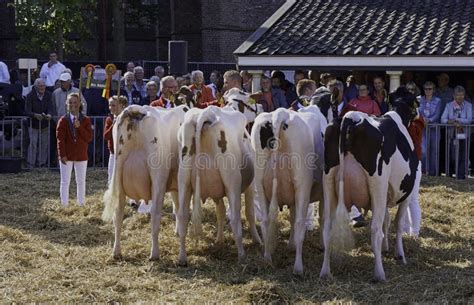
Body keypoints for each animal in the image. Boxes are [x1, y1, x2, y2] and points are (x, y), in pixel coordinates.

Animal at [102, 104, 191, 258]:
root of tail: (134, 110)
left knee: (118, 213)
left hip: (118, 175)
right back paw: (154, 253)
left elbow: (177, 208)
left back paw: (116, 251)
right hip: (158, 179)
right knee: (155, 213)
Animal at [176, 104, 262, 264]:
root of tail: (204, 114)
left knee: (182, 216)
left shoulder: (216, 192)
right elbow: (249, 213)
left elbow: (220, 212)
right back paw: (242, 255)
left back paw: (182, 257)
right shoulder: (250, 186)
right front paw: (257, 240)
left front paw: (219, 239)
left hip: (184, 183)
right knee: (235, 219)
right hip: (232, 182)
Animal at [252, 105, 326, 274]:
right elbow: (322, 218)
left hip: (260, 183)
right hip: (302, 185)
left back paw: (267, 258)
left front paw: (290, 245)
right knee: (299, 223)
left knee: (265, 222)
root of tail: (280, 114)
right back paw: (298, 268)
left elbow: (291, 215)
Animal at [320, 91, 420, 282]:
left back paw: (325, 272)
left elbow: (386, 220)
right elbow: (397, 223)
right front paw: (400, 255)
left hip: (328, 182)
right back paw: (379, 273)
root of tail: (351, 117)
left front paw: (386, 248)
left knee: (327, 227)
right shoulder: (406, 192)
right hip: (377, 184)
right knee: (374, 230)